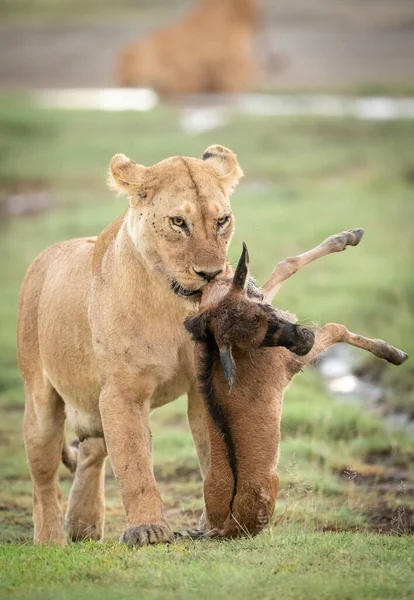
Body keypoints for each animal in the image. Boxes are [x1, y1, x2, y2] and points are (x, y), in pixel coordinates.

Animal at [185, 230, 408, 540]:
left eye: (265, 312)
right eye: (254, 341)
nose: (304, 338)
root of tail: (225, 526)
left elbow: (285, 265)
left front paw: (349, 237)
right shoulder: (292, 364)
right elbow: (336, 328)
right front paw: (393, 353)